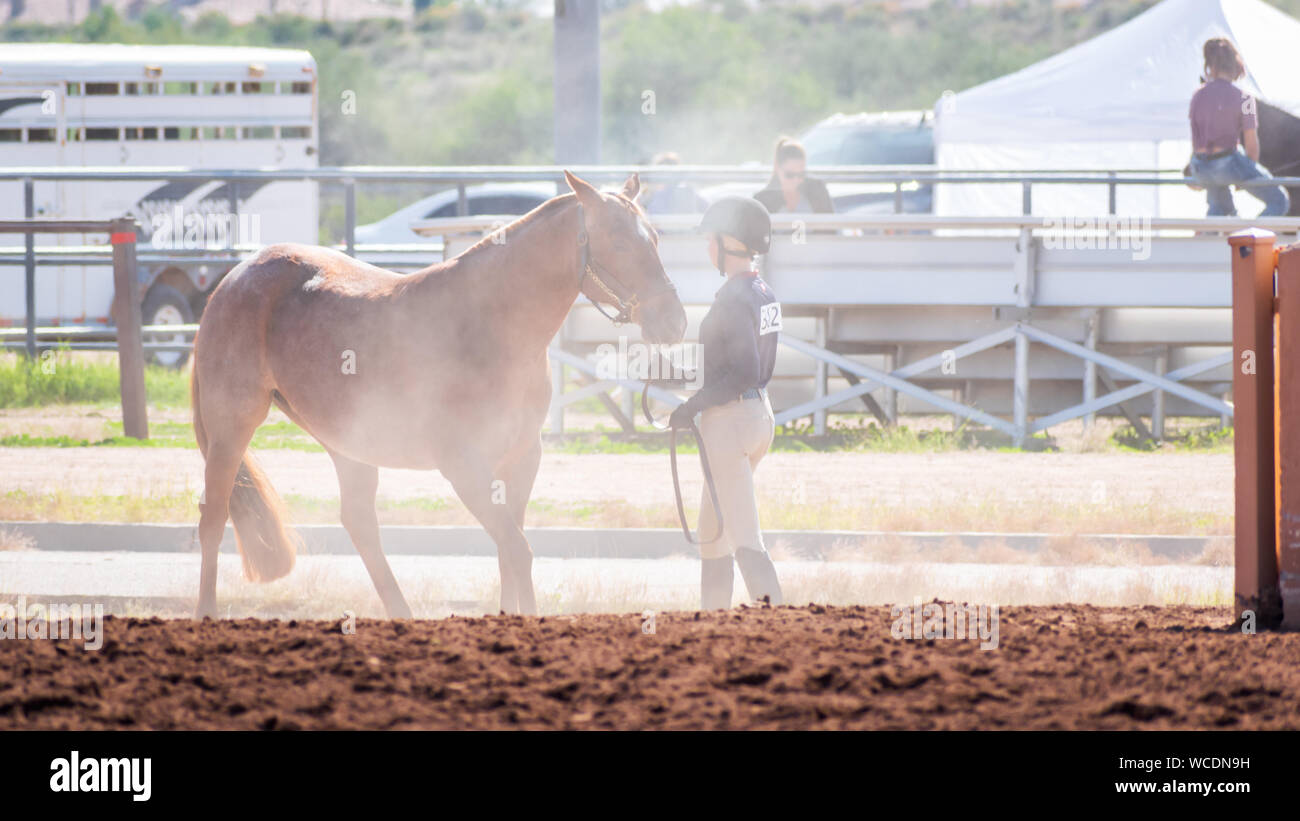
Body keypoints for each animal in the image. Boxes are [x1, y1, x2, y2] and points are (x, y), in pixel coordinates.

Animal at [189, 171, 687, 618]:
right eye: (618, 241)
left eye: (655, 237)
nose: (674, 321)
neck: (491, 323)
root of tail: (232, 279)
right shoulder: (463, 465)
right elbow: (517, 548)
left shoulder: (522, 458)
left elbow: (508, 550)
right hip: (231, 428)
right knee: (212, 519)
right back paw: (205, 615)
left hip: (347, 443)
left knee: (359, 523)